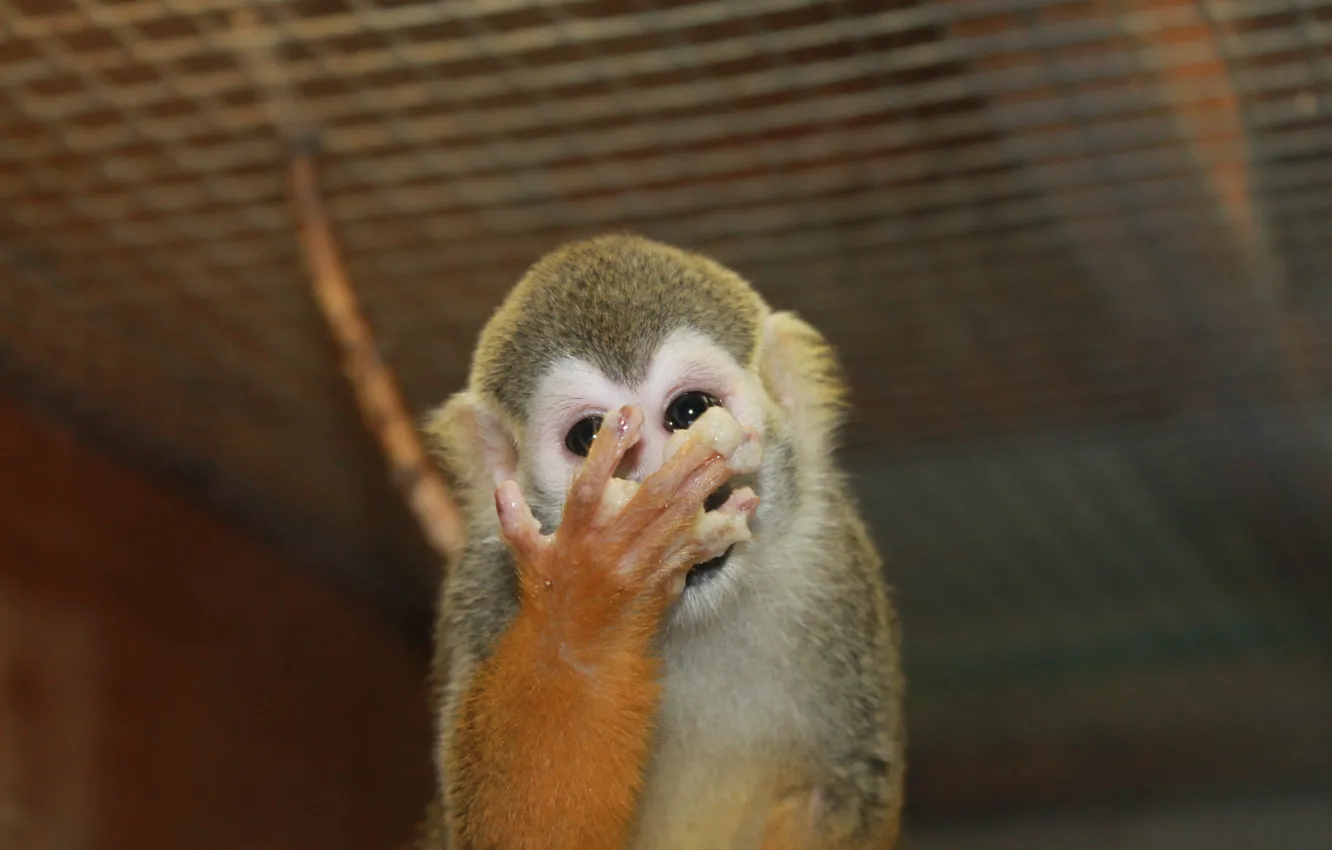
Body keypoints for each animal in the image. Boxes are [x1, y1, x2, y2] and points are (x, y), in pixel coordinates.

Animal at [419, 234, 904, 850]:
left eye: (690, 411)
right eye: (590, 437)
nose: (656, 479)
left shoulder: (835, 566)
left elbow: (843, 789)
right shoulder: (485, 593)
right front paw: (592, 598)